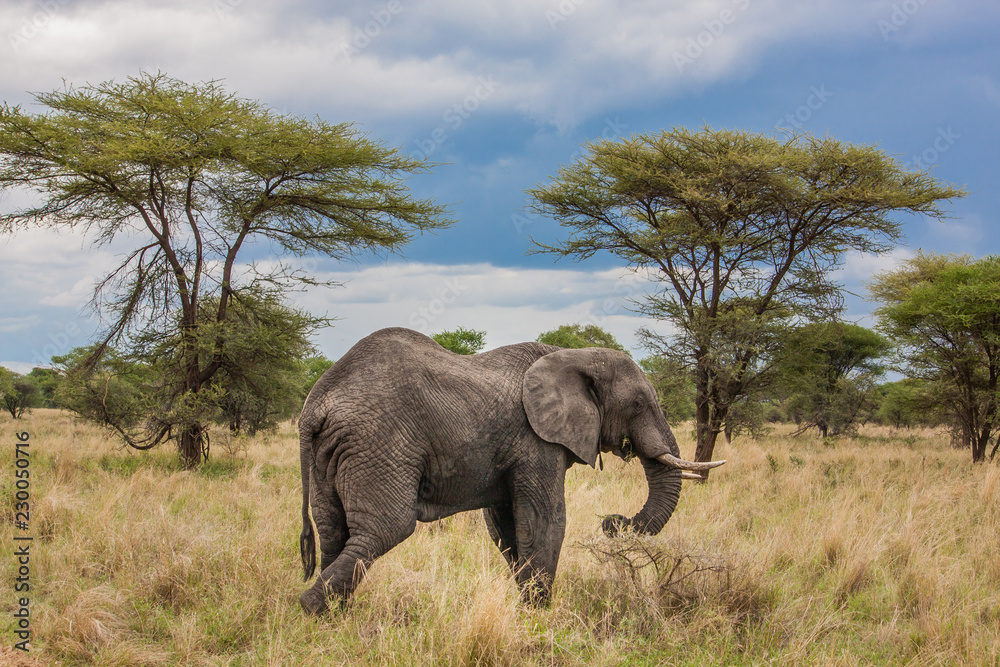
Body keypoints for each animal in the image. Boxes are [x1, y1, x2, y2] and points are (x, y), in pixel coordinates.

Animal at [297, 327, 723, 614]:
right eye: (637, 404)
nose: (612, 522)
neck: (573, 355)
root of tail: (317, 402)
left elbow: (506, 527)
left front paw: (527, 605)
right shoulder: (535, 440)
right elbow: (545, 520)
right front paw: (540, 614)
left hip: (332, 453)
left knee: (334, 531)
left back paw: (337, 616)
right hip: (379, 441)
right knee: (385, 528)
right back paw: (310, 608)